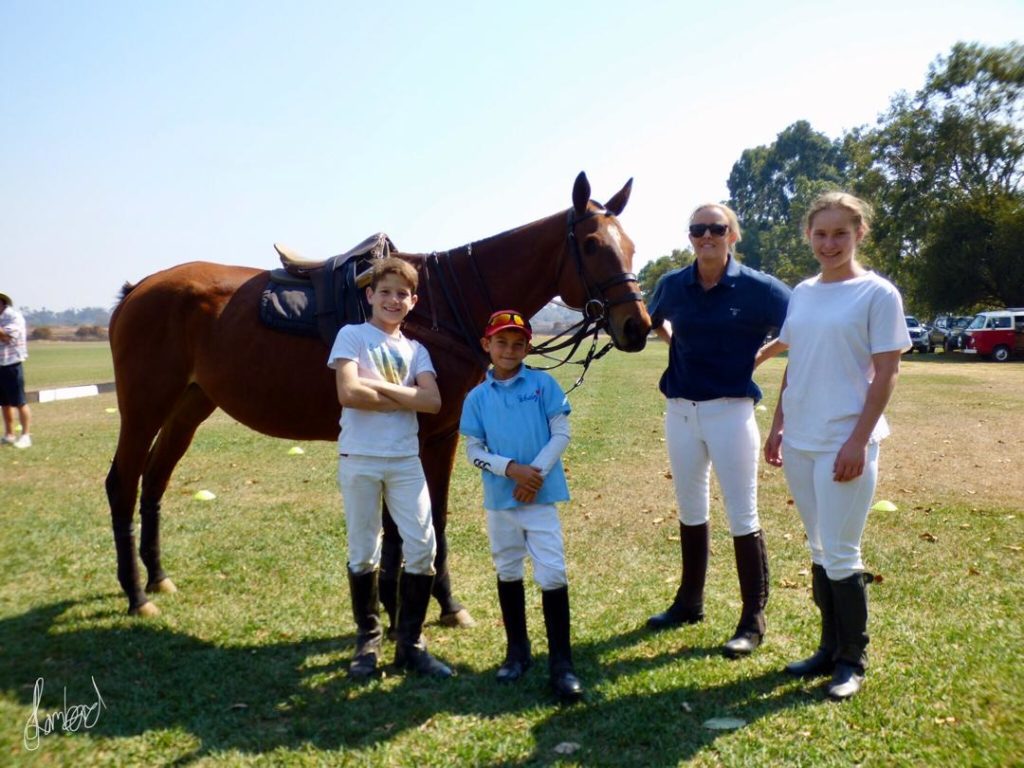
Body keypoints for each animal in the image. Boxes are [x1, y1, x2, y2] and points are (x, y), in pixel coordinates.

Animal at [103, 174, 647, 618]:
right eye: (592, 245)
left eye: (631, 246)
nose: (637, 326)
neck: (440, 305)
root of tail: (139, 288)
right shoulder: (420, 434)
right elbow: (408, 523)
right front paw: (406, 604)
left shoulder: (443, 433)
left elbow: (433, 518)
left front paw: (437, 604)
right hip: (144, 405)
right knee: (122, 482)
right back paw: (137, 593)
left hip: (190, 404)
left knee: (155, 480)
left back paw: (158, 576)